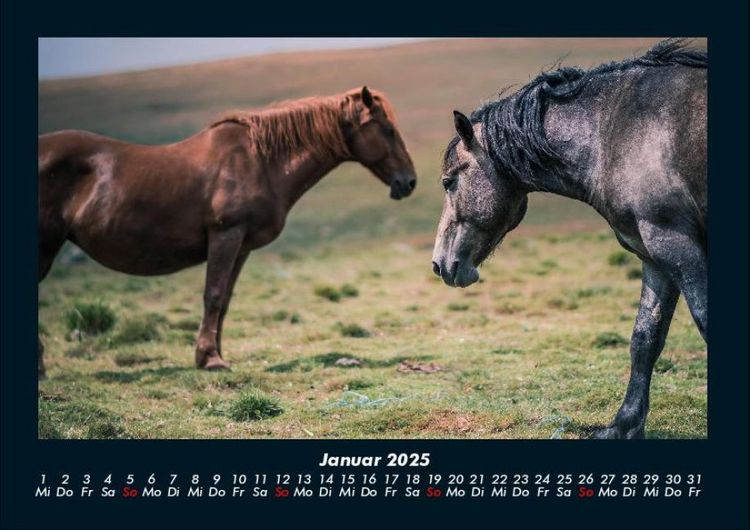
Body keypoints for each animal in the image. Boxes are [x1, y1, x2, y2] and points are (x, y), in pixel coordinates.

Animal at [39, 86, 417, 375]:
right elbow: (214, 294)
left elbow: (226, 300)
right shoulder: (226, 236)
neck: (260, 161)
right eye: (387, 130)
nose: (409, 182)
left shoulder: (242, 245)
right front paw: (210, 359)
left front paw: (213, 353)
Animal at [431, 39, 706, 439]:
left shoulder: (680, 248)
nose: (439, 264)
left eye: (448, 181)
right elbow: (645, 339)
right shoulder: (657, 258)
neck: (617, 131)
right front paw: (623, 425)